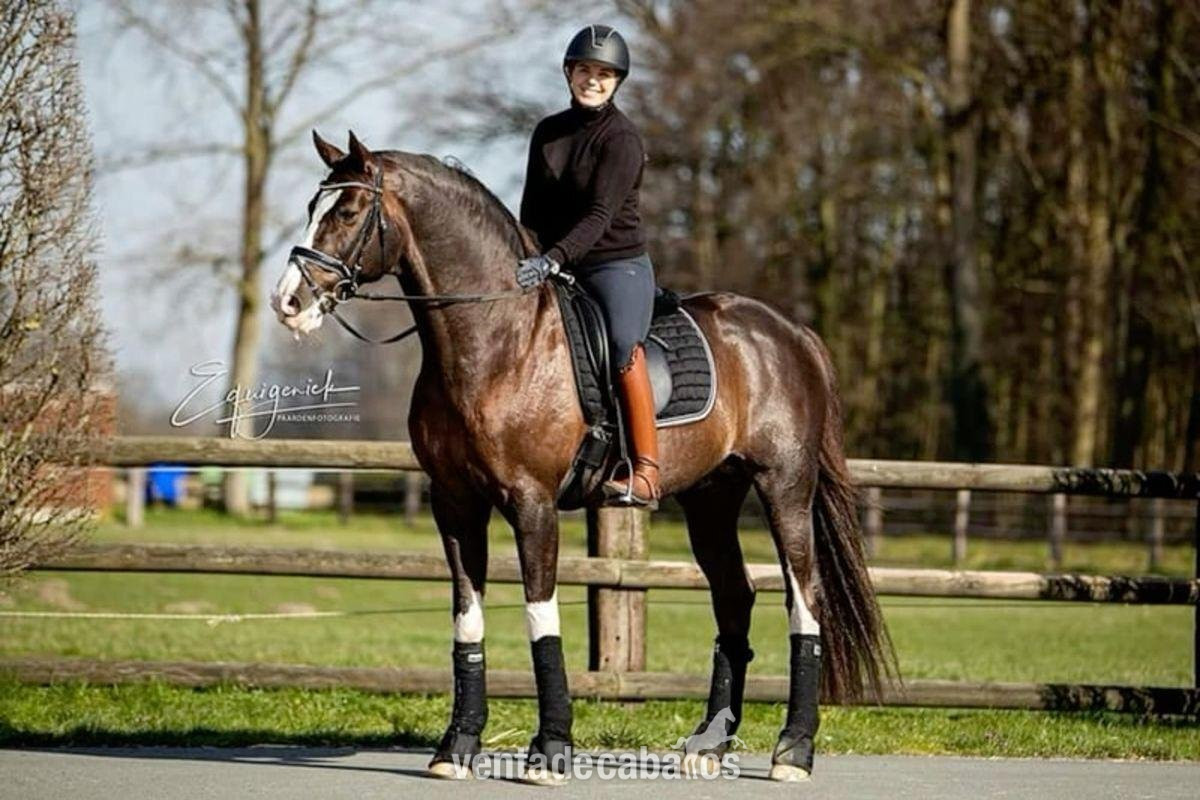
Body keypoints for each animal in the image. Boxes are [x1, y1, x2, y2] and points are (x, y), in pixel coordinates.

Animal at [271, 130, 893, 783]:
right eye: (312, 207)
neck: (497, 337)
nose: (288, 301)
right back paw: (709, 745)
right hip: (711, 500)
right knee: (734, 600)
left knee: (806, 603)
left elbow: (541, 621)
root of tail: (791, 333)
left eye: (346, 212)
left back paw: (793, 751)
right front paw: (455, 747)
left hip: (785, 489)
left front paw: (550, 750)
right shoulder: (455, 503)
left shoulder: (532, 503)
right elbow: (468, 620)